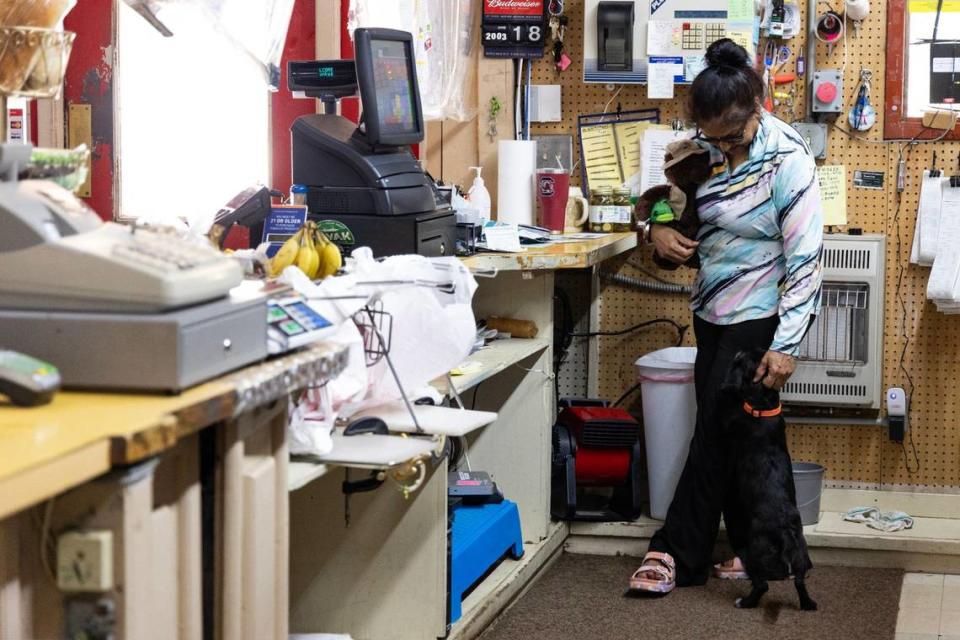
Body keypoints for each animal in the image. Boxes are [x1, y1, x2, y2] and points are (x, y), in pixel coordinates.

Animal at [720, 348, 816, 612]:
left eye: (743, 358)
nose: (739, 350)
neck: (763, 405)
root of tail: (785, 534)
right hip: (801, 556)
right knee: (800, 583)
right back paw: (809, 604)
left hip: (755, 553)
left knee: (761, 585)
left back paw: (744, 602)